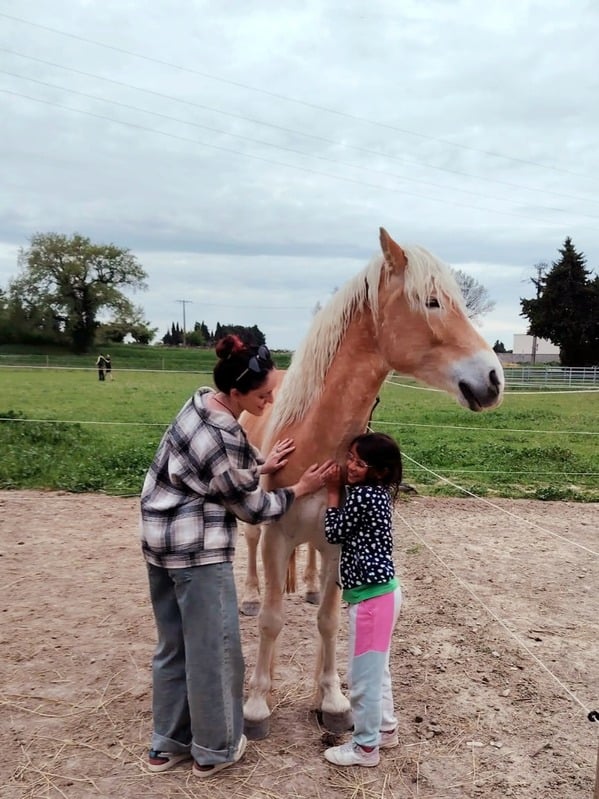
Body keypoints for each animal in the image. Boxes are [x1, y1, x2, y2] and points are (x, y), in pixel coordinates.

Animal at [241, 227, 504, 740]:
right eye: (432, 302)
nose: (493, 379)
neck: (313, 439)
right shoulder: (277, 537)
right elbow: (271, 620)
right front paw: (257, 706)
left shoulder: (336, 544)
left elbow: (327, 620)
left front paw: (332, 699)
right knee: (249, 552)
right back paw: (247, 595)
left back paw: (304, 586)